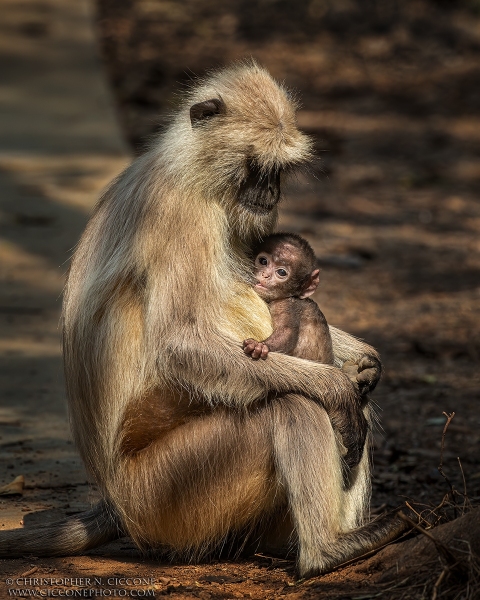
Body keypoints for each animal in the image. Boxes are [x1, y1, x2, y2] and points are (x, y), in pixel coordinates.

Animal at [244, 233, 334, 366]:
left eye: (281, 272)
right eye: (263, 261)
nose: (265, 275)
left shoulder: (287, 304)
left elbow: (287, 331)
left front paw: (260, 346)